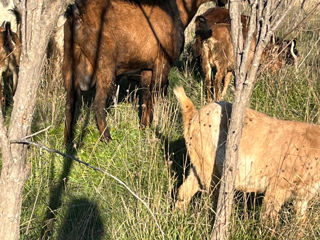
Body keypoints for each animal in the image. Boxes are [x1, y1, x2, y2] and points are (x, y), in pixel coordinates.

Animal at [63, 0, 218, 143]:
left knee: (70, 103)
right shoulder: (162, 63)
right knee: (98, 104)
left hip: (69, 64)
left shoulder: (147, 69)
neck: (176, 8)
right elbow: (154, 95)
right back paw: (107, 138)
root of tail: (77, 12)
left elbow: (146, 97)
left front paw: (144, 127)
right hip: (105, 66)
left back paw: (68, 142)